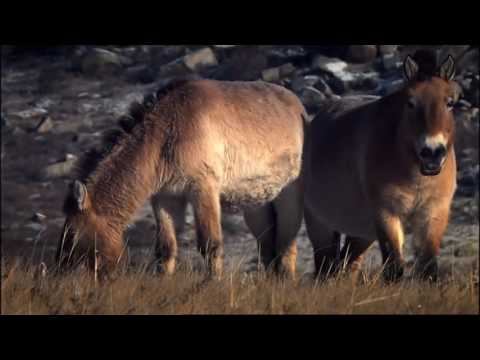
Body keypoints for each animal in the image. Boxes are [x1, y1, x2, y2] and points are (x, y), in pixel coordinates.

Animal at [55, 78, 304, 278]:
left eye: (72, 232)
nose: (61, 269)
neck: (165, 136)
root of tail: (298, 106)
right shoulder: (165, 198)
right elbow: (166, 249)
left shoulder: (203, 189)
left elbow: (210, 245)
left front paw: (213, 285)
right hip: (257, 206)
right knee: (269, 248)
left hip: (288, 198)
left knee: (287, 246)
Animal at [304, 52, 458, 282]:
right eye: (410, 103)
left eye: (449, 103)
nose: (432, 152)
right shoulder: (386, 213)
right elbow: (394, 268)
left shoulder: (433, 213)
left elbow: (428, 269)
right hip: (320, 224)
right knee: (326, 266)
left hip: (361, 233)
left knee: (347, 265)